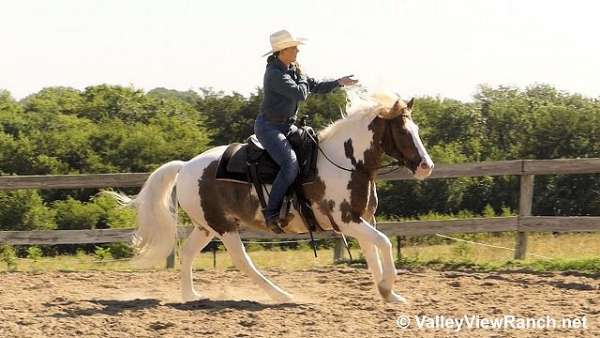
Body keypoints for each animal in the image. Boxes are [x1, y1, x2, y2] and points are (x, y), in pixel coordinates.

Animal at [110, 90, 434, 304]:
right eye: (404, 133)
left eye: (417, 129)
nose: (426, 166)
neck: (346, 161)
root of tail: (186, 166)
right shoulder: (347, 221)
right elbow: (385, 243)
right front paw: (388, 287)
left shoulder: (361, 220)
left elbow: (373, 252)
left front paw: (389, 295)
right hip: (224, 228)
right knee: (244, 263)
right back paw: (283, 295)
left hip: (207, 226)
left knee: (188, 253)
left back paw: (191, 295)